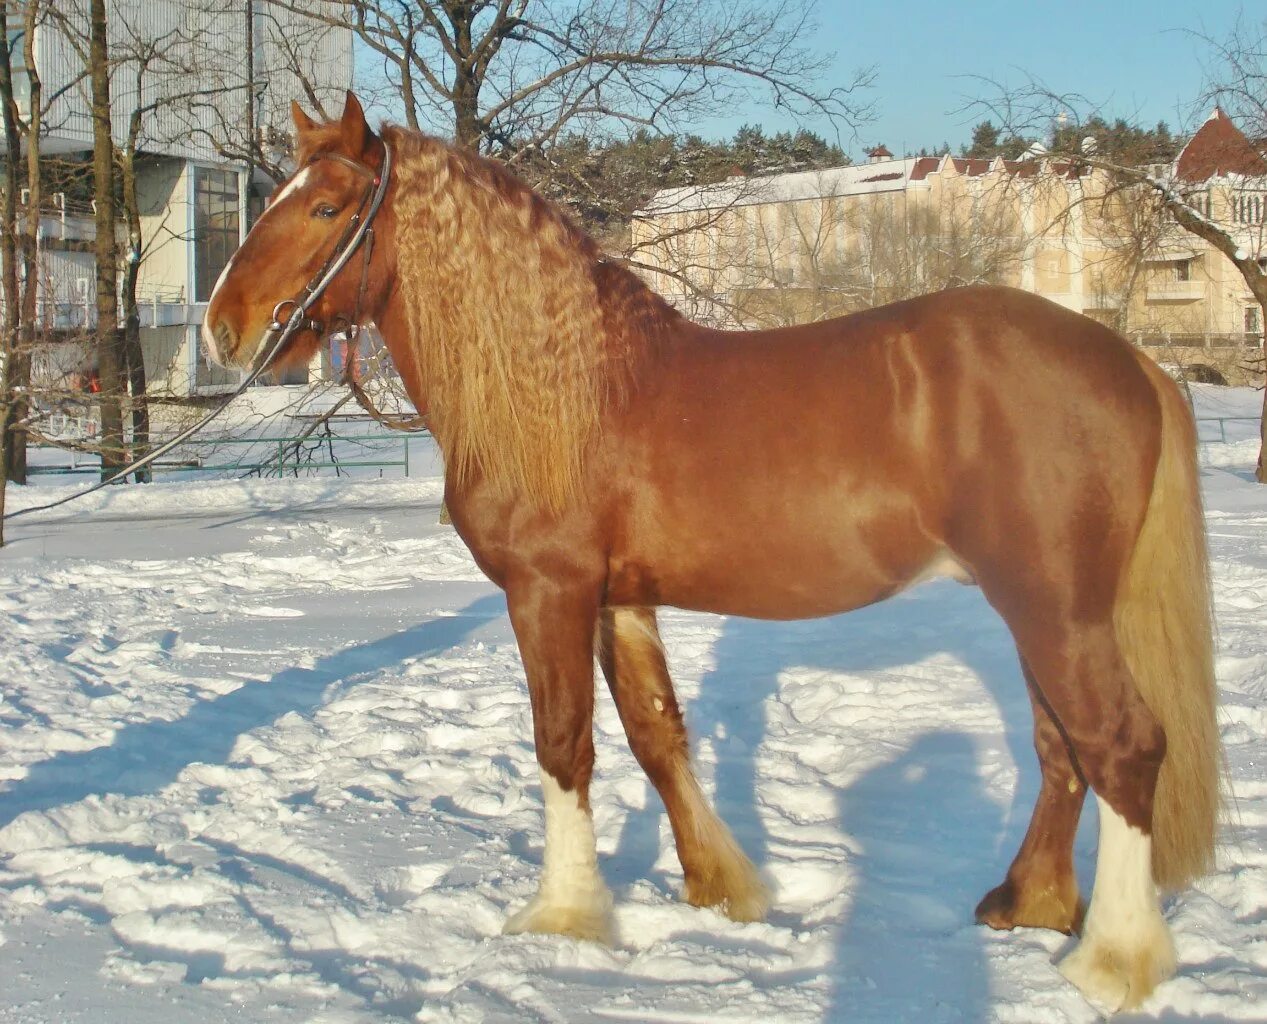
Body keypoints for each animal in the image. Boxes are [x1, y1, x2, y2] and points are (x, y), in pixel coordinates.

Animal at [205, 93, 1216, 1008]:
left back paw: (1112, 961)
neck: (572, 388)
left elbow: (563, 745)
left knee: (1120, 746)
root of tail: (1131, 362)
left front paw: (562, 920)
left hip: (1054, 609)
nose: (224, 326)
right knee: (1062, 747)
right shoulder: (619, 598)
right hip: (1039, 609)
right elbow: (657, 736)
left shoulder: (548, 591)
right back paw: (1028, 905)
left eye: (326, 208)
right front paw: (719, 889)